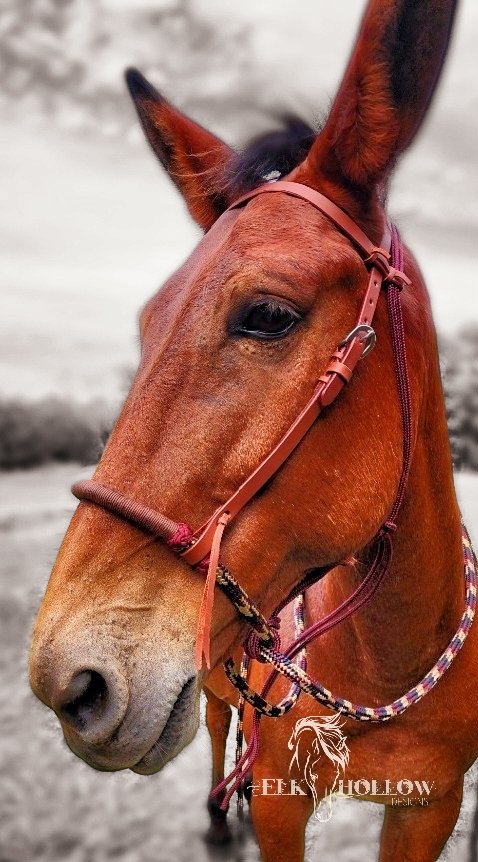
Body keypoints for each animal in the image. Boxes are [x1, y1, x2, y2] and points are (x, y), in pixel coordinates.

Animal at [30, 1, 478, 862]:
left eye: (268, 314)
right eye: (147, 322)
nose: (70, 680)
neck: (387, 665)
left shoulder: (430, 807)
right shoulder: (280, 799)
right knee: (214, 728)